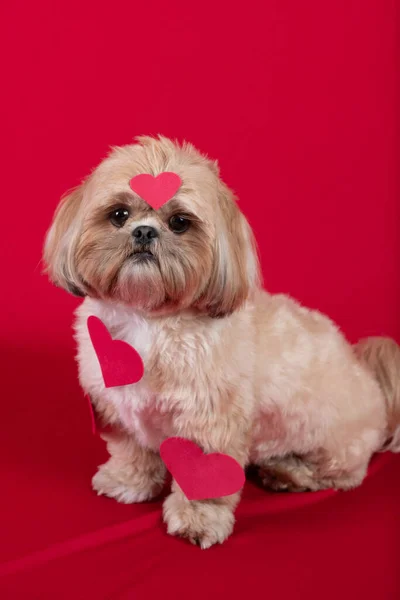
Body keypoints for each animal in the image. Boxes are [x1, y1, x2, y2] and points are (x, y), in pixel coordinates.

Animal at [43, 135, 400, 548]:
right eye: (119, 214)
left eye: (179, 222)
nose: (145, 231)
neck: (149, 318)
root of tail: (372, 380)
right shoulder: (117, 407)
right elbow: (132, 451)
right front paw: (127, 481)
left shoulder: (210, 421)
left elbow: (205, 478)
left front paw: (198, 520)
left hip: (333, 440)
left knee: (344, 472)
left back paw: (289, 473)